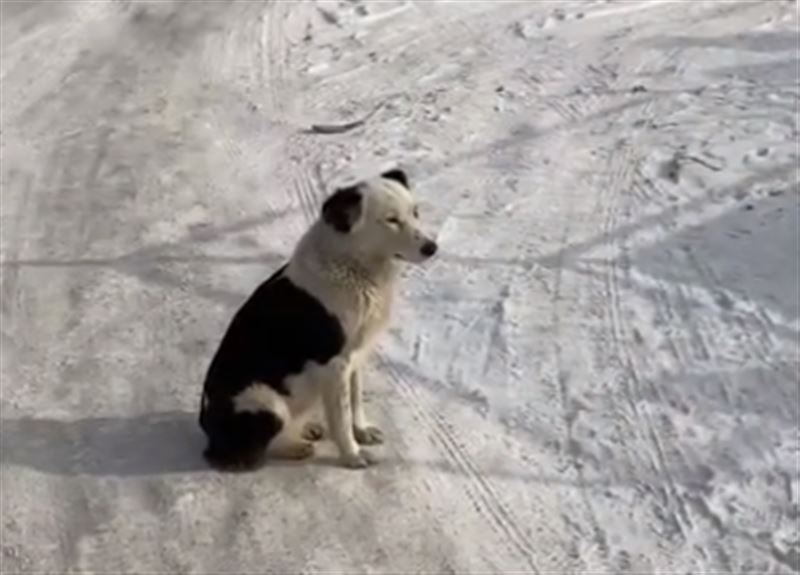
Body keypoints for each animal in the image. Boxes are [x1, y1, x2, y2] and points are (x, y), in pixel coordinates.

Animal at [198, 169, 438, 470]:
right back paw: (294, 447)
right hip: (266, 401)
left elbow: (355, 401)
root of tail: (208, 430)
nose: (432, 247)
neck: (353, 265)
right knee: (257, 449)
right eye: (391, 220)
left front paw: (362, 431)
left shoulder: (356, 357)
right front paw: (352, 454)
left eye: (415, 212)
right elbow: (342, 418)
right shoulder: (335, 365)